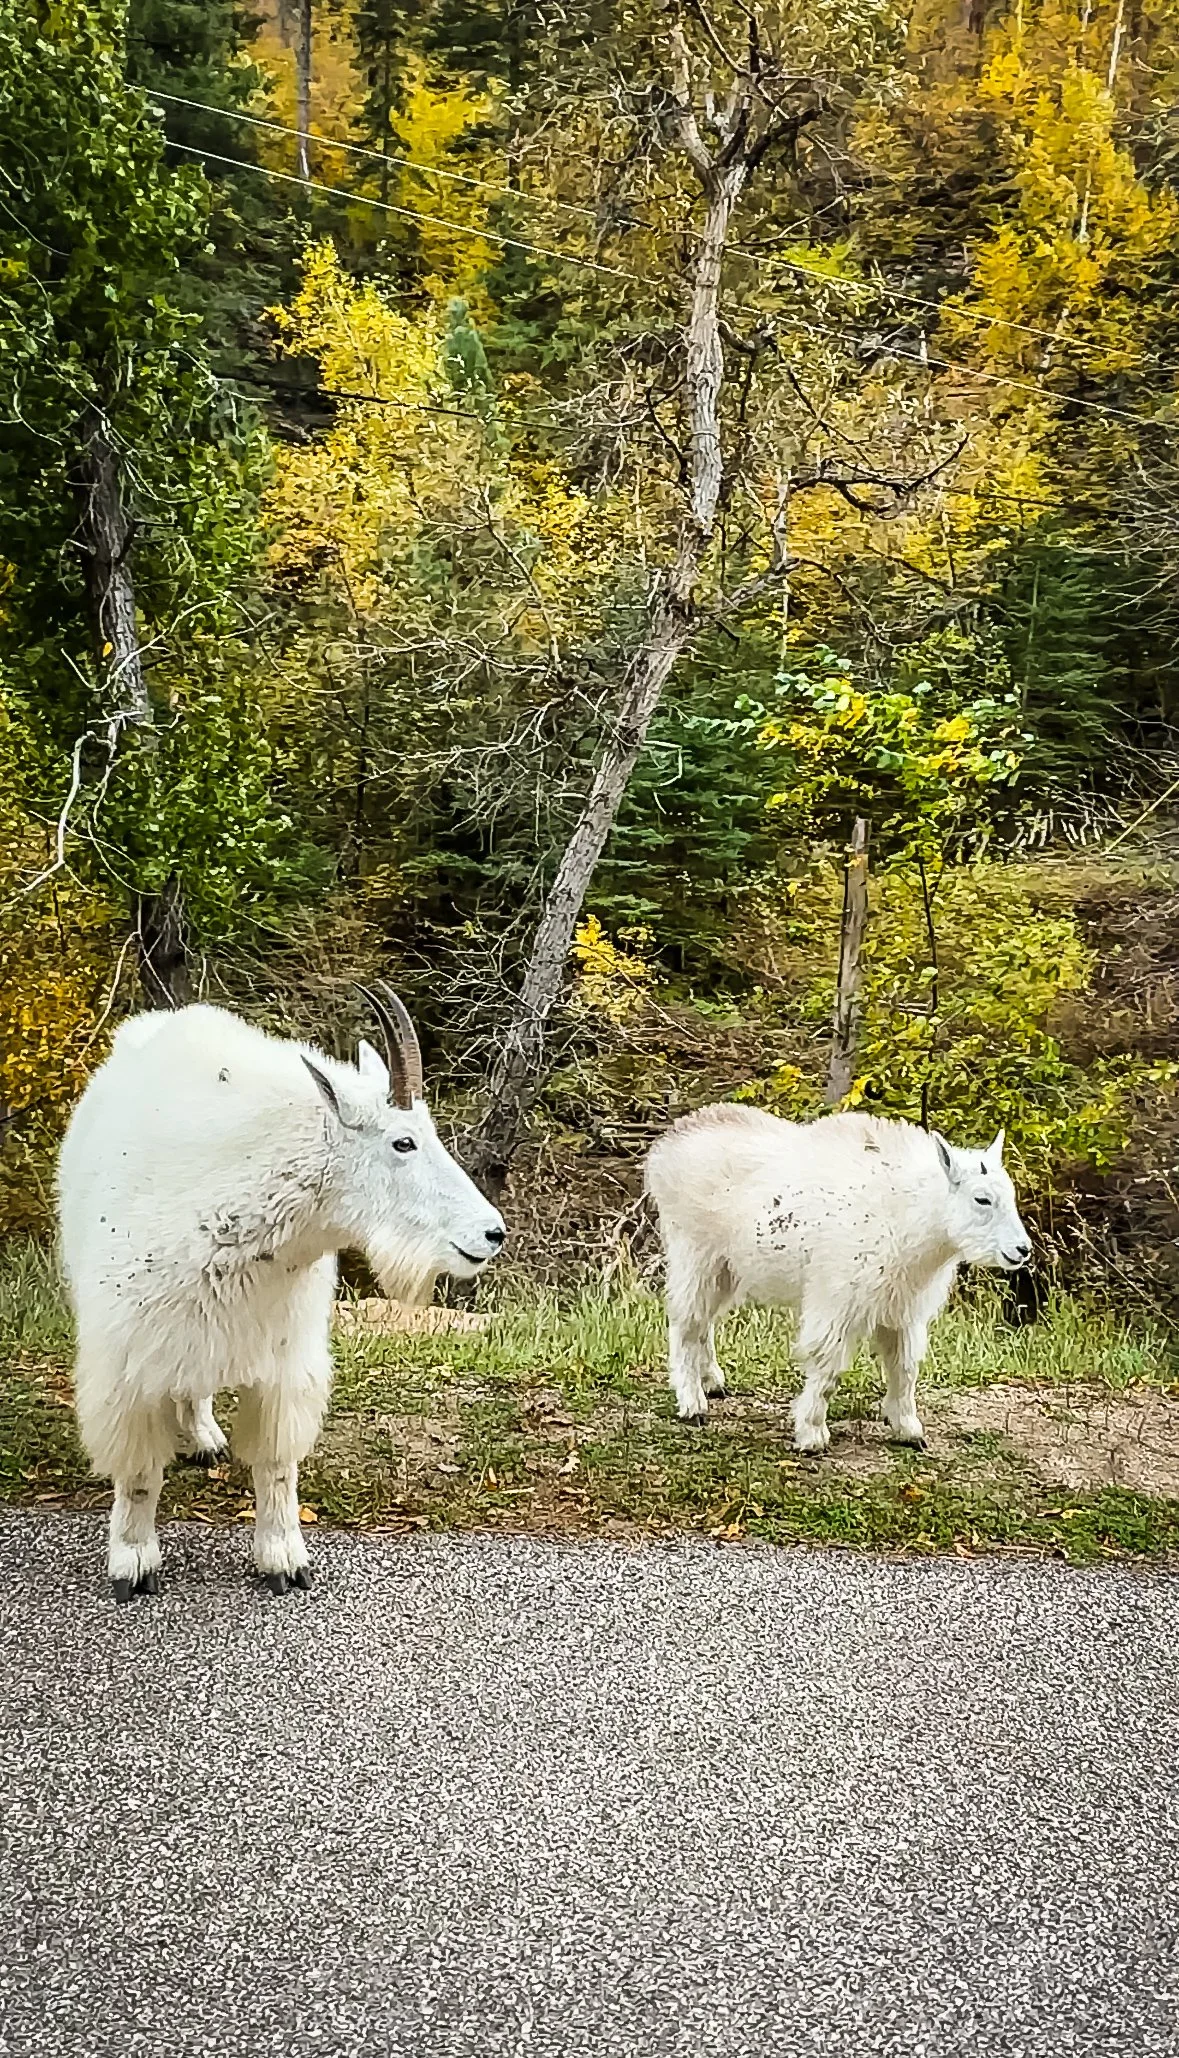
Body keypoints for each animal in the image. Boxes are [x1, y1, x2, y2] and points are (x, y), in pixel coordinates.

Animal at [57, 988, 506, 1602]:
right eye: (403, 1141)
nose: (492, 1233)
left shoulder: (284, 1359)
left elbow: (275, 1463)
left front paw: (285, 1561)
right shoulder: (127, 1363)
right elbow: (140, 1472)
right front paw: (133, 1562)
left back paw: (205, 1437)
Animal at [644, 1105, 1031, 1454]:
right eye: (982, 1199)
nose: (1022, 1250)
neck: (908, 1214)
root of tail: (664, 1148)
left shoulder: (902, 1308)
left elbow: (905, 1368)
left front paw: (908, 1430)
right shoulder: (837, 1300)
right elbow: (827, 1365)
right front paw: (812, 1435)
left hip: (725, 1267)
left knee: (703, 1322)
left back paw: (713, 1382)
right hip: (694, 1253)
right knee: (685, 1321)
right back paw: (692, 1403)